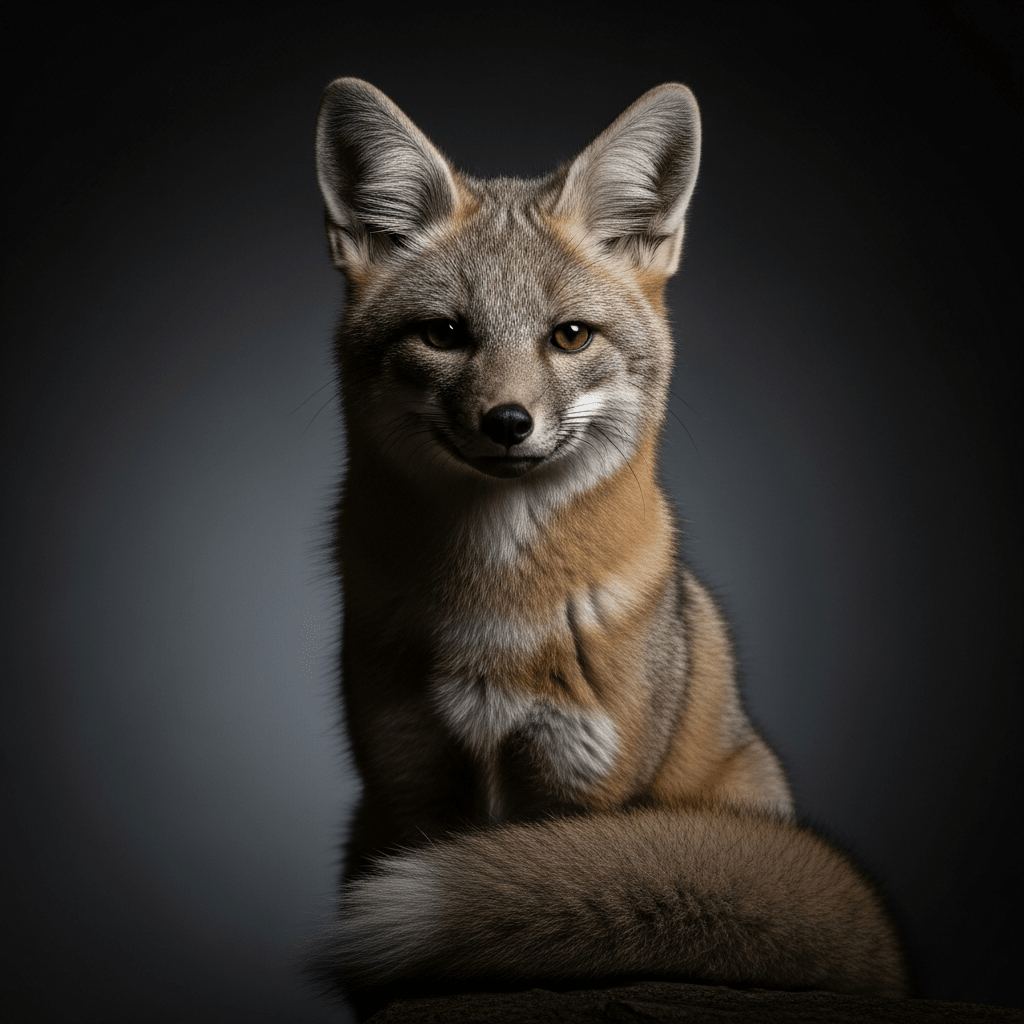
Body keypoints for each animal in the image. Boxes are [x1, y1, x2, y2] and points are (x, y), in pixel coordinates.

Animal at [306, 77, 909, 1008]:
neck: (495, 612)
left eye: (570, 336)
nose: (507, 422)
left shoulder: (584, 787)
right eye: (444, 335)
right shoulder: (406, 779)